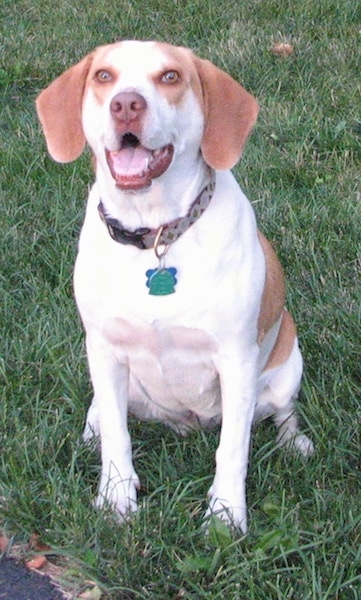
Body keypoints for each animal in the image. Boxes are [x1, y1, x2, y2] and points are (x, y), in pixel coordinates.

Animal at [36, 39, 312, 532]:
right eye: (103, 76)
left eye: (169, 76)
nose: (126, 104)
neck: (156, 232)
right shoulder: (104, 348)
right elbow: (118, 438)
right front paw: (116, 499)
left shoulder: (236, 360)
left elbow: (232, 450)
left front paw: (225, 517)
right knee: (103, 412)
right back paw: (91, 431)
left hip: (288, 364)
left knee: (284, 413)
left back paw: (294, 444)